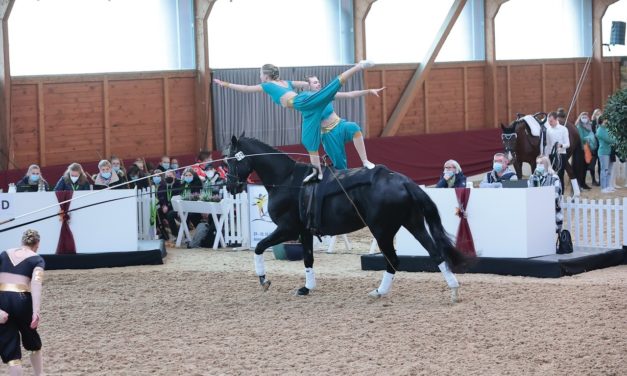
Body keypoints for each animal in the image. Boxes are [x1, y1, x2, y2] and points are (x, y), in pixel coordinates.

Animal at [227, 135, 472, 302]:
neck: (287, 180)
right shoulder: (304, 232)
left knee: (393, 260)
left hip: (382, 231)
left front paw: (264, 280)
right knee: (435, 252)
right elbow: (308, 260)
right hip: (413, 224)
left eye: (231, 161)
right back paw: (453, 289)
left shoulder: (288, 229)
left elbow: (260, 247)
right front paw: (307, 288)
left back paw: (380, 291)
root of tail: (403, 181)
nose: (230, 186)